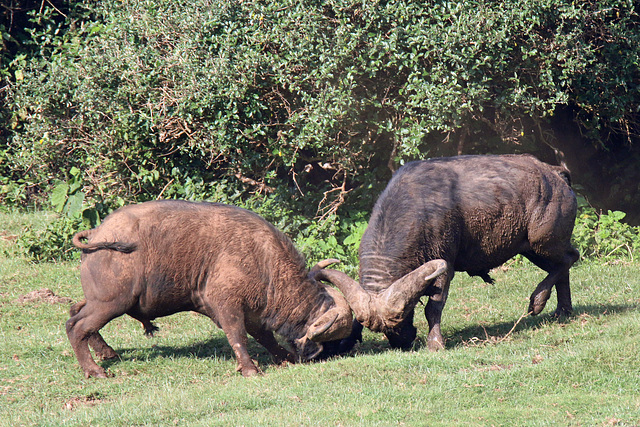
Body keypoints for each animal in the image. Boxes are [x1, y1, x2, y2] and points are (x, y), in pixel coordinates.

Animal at [67, 201, 352, 378]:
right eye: (335, 341)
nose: (327, 356)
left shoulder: (254, 313)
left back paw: (107, 354)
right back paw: (96, 371)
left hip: (98, 302)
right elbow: (238, 336)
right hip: (111, 303)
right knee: (76, 326)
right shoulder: (228, 307)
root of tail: (98, 232)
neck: (264, 260)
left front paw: (284, 358)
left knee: (75, 312)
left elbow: (265, 337)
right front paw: (250, 370)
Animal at [316, 155, 580, 352]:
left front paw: (435, 343)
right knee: (561, 267)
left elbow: (433, 308)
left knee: (570, 258)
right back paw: (562, 310)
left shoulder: (444, 267)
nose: (402, 342)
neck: (416, 209)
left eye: (405, 313)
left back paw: (538, 301)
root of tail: (555, 173)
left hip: (543, 240)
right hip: (532, 248)